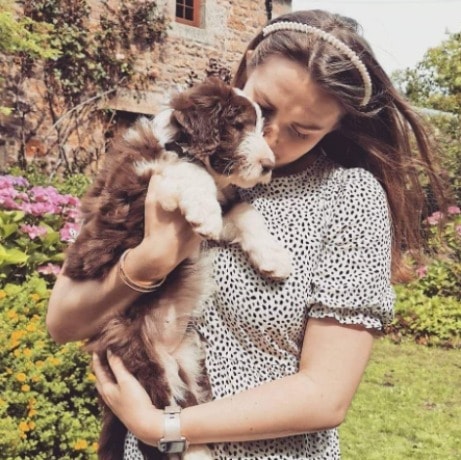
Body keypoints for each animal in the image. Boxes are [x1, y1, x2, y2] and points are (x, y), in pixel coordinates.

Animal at [63, 77, 293, 460]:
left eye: (261, 128)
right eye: (237, 126)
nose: (269, 165)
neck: (178, 144)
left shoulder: (227, 209)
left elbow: (245, 213)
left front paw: (274, 257)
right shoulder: (125, 198)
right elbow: (184, 170)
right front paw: (203, 210)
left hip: (192, 362)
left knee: (187, 409)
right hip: (141, 361)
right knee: (160, 424)